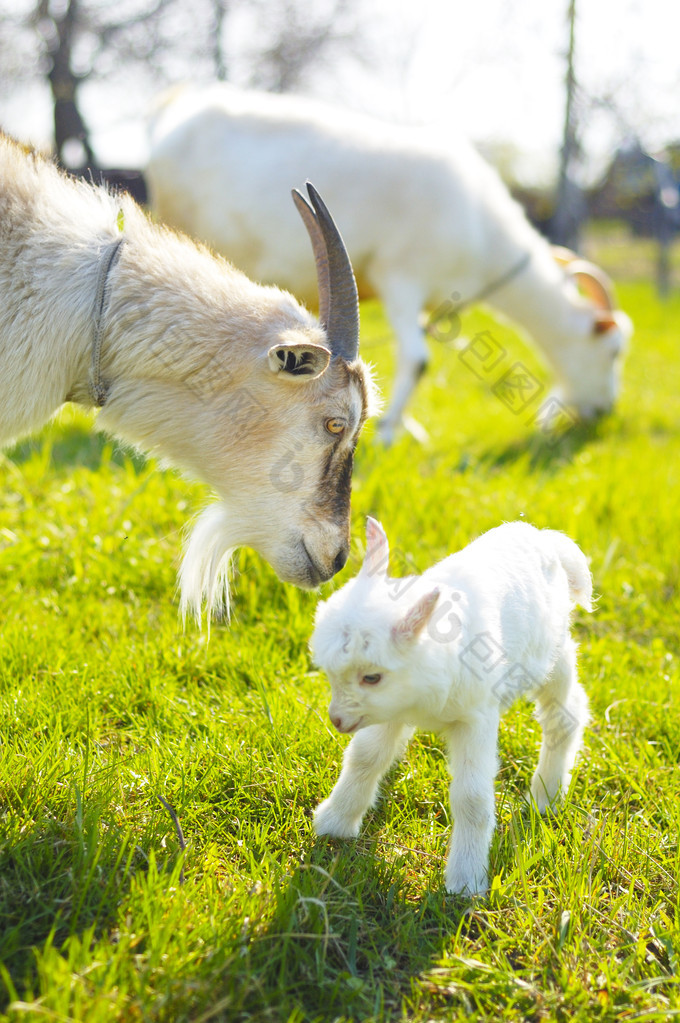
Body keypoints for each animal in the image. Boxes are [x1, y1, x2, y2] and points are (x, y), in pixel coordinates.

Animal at [144, 81, 629, 441]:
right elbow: (417, 359)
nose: (604, 412)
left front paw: (404, 426)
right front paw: (391, 432)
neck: (479, 226)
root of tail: (176, 110)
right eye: (614, 351)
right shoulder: (401, 277)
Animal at [310, 519, 593, 896]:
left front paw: (466, 882)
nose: (337, 720)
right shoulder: (388, 713)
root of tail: (545, 538)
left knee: (565, 714)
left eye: (372, 677)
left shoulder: (476, 718)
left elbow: (471, 797)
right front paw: (334, 823)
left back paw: (546, 797)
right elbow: (365, 759)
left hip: (551, 654)